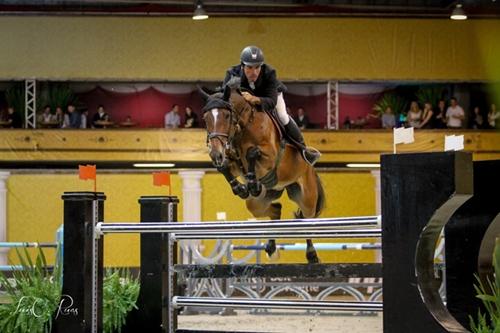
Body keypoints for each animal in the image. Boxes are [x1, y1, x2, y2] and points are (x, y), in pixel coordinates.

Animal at [201, 84, 326, 264]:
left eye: (226, 115)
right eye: (205, 119)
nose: (215, 153)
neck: (243, 126)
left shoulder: (271, 157)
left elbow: (252, 153)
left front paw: (252, 183)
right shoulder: (233, 163)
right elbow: (224, 167)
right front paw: (241, 188)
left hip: (307, 197)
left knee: (306, 219)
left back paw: (312, 255)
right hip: (259, 202)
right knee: (275, 210)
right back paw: (272, 248)